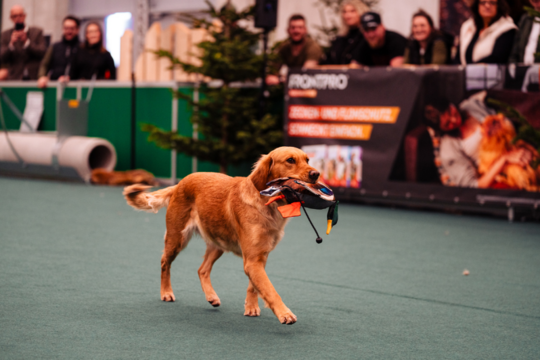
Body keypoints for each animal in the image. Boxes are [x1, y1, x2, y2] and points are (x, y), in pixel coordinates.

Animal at [124, 145, 320, 324]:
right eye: (290, 160)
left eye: (307, 160)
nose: (316, 174)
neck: (267, 202)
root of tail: (180, 182)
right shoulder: (253, 260)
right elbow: (270, 290)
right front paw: (284, 313)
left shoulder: (259, 257)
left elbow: (254, 287)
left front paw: (251, 307)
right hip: (177, 238)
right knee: (165, 262)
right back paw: (166, 292)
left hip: (218, 242)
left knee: (202, 269)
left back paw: (211, 296)